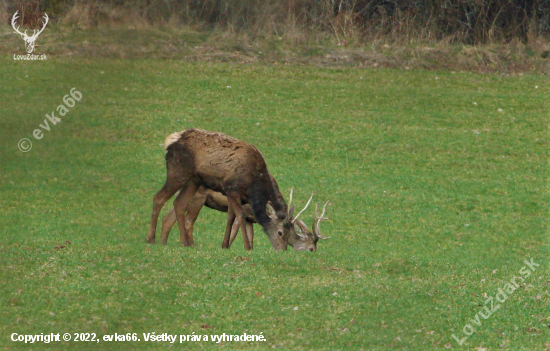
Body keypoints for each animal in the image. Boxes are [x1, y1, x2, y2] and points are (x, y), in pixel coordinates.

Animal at [147, 129, 294, 250]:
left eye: (289, 234)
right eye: (280, 232)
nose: (282, 250)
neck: (253, 186)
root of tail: (170, 140)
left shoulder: (233, 195)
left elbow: (230, 218)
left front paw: (225, 245)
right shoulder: (232, 189)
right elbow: (240, 216)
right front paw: (247, 247)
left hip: (193, 180)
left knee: (179, 203)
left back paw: (185, 243)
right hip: (178, 171)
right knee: (158, 197)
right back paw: (151, 239)